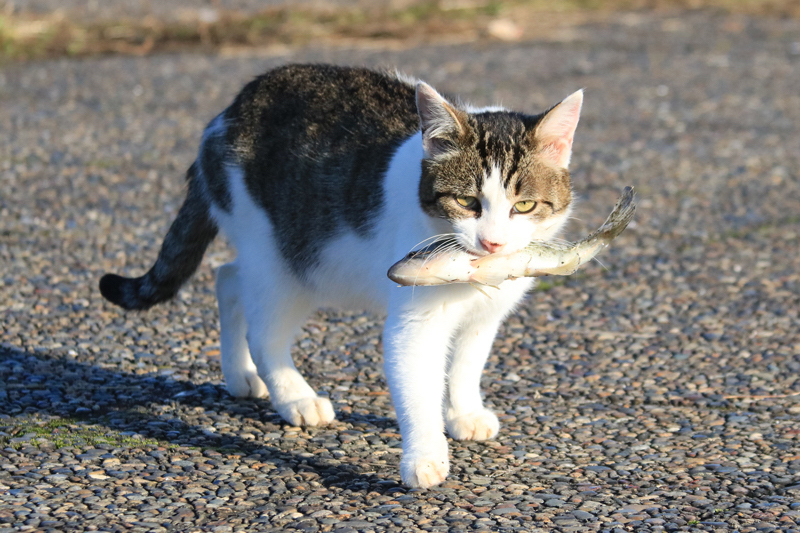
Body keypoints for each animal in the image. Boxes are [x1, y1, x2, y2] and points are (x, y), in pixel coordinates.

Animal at [103, 62, 584, 486]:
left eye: (523, 206)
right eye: (467, 202)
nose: (493, 243)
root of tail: (228, 112)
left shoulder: (485, 316)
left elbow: (467, 365)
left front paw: (463, 412)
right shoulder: (415, 324)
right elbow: (418, 390)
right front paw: (425, 457)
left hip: (285, 260)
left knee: (229, 278)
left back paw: (239, 376)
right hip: (285, 263)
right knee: (262, 329)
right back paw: (295, 397)